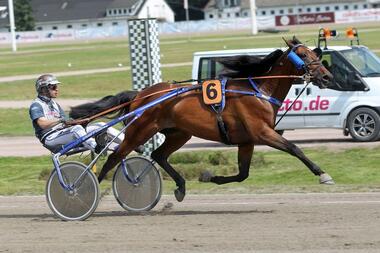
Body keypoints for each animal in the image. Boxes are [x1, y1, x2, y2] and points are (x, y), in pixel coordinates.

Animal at [70, 37, 334, 202]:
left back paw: (180, 185)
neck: (260, 90)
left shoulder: (246, 140)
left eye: (315, 53)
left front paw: (209, 176)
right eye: (303, 54)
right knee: (114, 157)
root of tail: (140, 95)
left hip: (179, 133)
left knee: (158, 155)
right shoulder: (262, 133)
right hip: (140, 130)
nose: (327, 76)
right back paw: (86, 191)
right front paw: (323, 174)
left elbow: (243, 174)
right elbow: (294, 148)